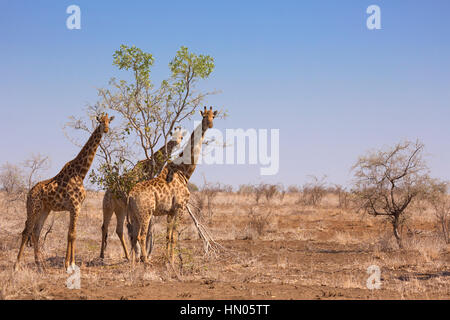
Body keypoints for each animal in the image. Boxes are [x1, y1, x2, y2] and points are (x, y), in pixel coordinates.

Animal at [14, 114, 115, 270]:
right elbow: (71, 234)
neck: (81, 173)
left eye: (109, 121)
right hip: (33, 208)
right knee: (26, 231)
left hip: (44, 210)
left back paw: (39, 264)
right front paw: (69, 264)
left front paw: (70, 263)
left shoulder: (76, 207)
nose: (106, 129)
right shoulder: (74, 206)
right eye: (100, 121)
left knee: (36, 232)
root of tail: (29, 192)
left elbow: (72, 233)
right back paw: (17, 265)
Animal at [100, 126, 185, 258]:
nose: (177, 142)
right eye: (174, 136)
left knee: (118, 229)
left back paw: (126, 256)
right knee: (105, 226)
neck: (148, 167)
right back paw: (103, 255)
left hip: (120, 209)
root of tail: (108, 191)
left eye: (180, 136)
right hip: (108, 206)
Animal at [126, 106, 218, 264]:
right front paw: (173, 261)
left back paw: (133, 263)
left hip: (134, 214)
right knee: (141, 236)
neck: (183, 171)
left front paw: (167, 259)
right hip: (146, 213)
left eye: (213, 116)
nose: (210, 124)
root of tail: (130, 195)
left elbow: (168, 236)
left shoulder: (169, 211)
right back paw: (146, 261)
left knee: (133, 236)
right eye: (204, 116)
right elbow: (175, 237)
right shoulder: (180, 207)